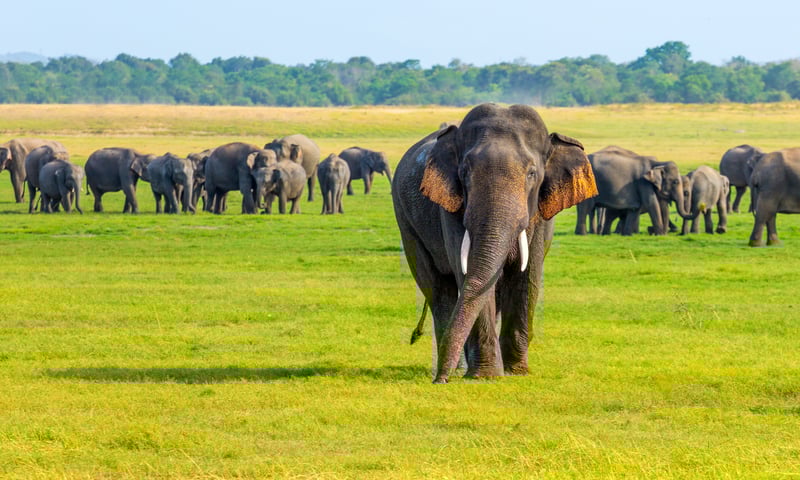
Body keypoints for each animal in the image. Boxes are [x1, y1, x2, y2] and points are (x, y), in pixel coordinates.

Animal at [392, 103, 597, 383]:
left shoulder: (540, 215)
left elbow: (527, 277)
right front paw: (486, 376)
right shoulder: (451, 208)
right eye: (464, 172)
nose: (439, 381)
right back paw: (458, 368)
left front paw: (515, 372)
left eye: (532, 173)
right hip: (407, 225)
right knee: (438, 288)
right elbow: (469, 274)